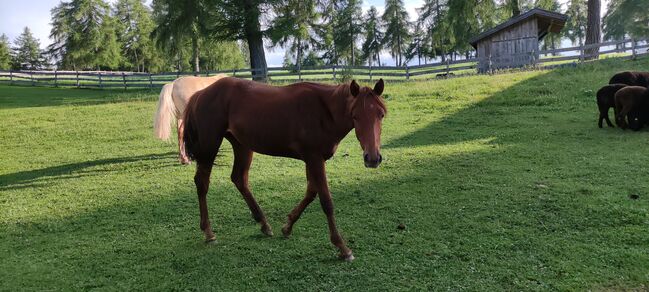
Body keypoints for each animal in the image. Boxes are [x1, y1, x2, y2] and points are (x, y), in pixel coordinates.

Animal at [182, 77, 384, 260]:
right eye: (355, 115)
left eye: (381, 114)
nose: (372, 158)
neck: (323, 111)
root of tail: (201, 94)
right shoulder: (314, 158)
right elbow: (326, 201)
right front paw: (342, 247)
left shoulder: (313, 160)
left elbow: (311, 193)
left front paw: (287, 226)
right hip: (210, 146)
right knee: (202, 183)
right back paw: (209, 232)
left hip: (242, 146)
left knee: (239, 179)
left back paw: (264, 224)